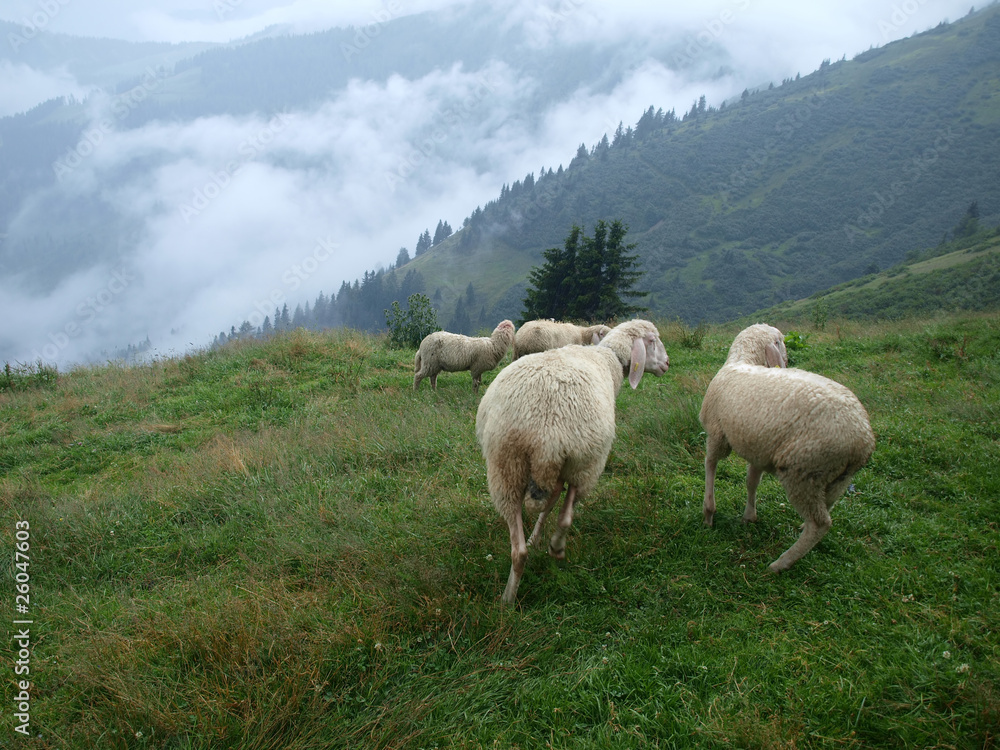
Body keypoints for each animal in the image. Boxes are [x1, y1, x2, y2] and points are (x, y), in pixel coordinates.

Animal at [475, 319, 669, 605]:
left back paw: (507, 600)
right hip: (582, 463)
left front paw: (535, 539)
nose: (667, 363)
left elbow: (547, 510)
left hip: (506, 467)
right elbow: (563, 515)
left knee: (518, 550)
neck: (608, 357)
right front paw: (554, 545)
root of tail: (542, 432)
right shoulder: (581, 467)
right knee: (563, 515)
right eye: (653, 340)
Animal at [699, 323, 875, 572]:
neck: (741, 361)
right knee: (827, 505)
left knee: (821, 524)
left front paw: (708, 513)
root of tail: (863, 439)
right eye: (782, 341)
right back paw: (801, 530)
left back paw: (780, 563)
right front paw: (749, 516)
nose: (786, 360)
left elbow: (710, 467)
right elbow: (751, 481)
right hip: (836, 478)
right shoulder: (759, 448)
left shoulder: (717, 435)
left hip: (802, 470)